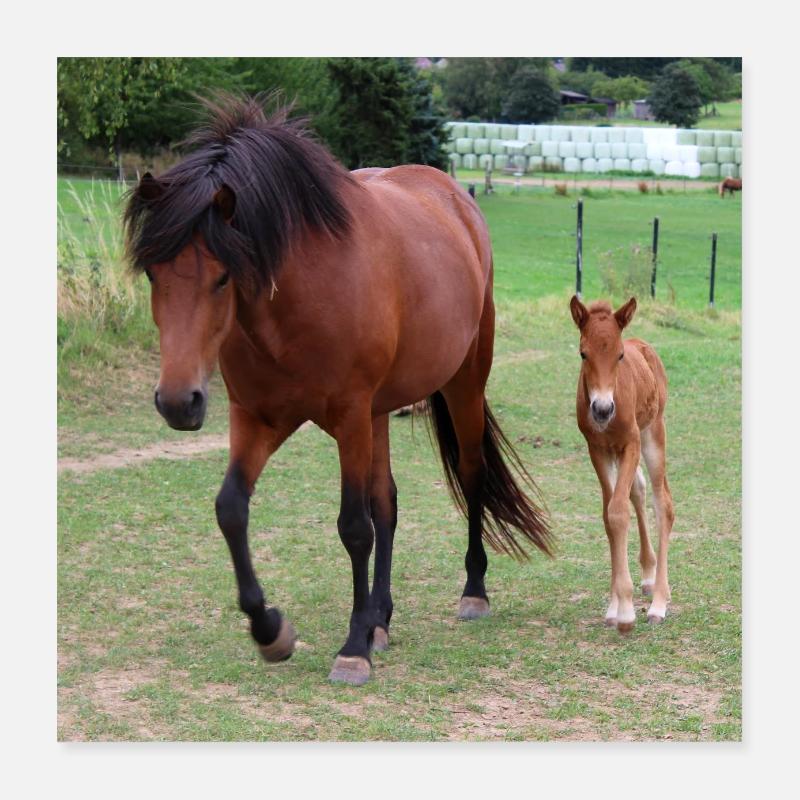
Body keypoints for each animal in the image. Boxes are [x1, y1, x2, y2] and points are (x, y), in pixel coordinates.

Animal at [123, 94, 552, 686]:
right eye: (153, 274)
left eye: (222, 276)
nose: (177, 401)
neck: (296, 301)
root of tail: (457, 200)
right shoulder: (258, 417)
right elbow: (232, 508)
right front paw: (272, 631)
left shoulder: (348, 416)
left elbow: (353, 527)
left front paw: (352, 648)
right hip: (379, 413)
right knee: (387, 501)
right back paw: (381, 618)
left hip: (462, 383)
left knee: (470, 477)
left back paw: (472, 591)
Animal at [569, 296, 674, 633]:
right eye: (583, 353)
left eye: (619, 355)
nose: (602, 409)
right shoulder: (598, 450)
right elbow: (609, 515)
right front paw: (615, 606)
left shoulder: (631, 444)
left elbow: (617, 512)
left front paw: (627, 613)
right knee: (637, 491)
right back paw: (648, 576)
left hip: (654, 433)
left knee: (663, 503)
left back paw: (659, 602)